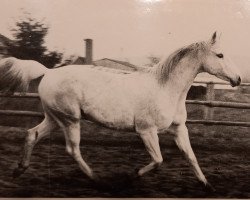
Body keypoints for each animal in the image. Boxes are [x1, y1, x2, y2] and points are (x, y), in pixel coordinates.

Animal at [0, 32, 242, 191]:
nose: (238, 79)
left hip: (54, 118)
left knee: (32, 134)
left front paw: (207, 185)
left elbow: (191, 157)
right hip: (70, 120)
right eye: (220, 55)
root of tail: (48, 72)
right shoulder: (146, 130)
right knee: (72, 149)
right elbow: (158, 160)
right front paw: (130, 176)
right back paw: (98, 180)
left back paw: (19, 170)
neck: (165, 88)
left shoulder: (179, 129)